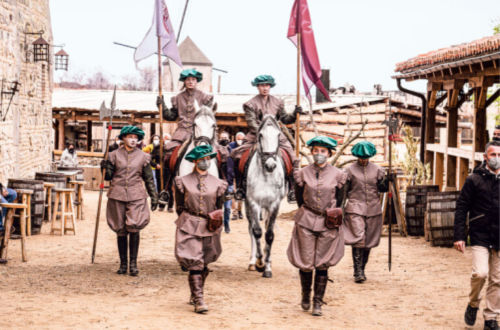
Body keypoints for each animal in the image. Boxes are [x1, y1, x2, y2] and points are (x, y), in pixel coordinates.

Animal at [245, 114, 286, 278]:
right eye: (260, 135)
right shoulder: (253, 202)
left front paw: (267, 268)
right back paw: (252, 262)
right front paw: (259, 263)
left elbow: (269, 234)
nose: (270, 165)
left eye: (278, 135)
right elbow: (257, 232)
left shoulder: (274, 204)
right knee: (251, 229)